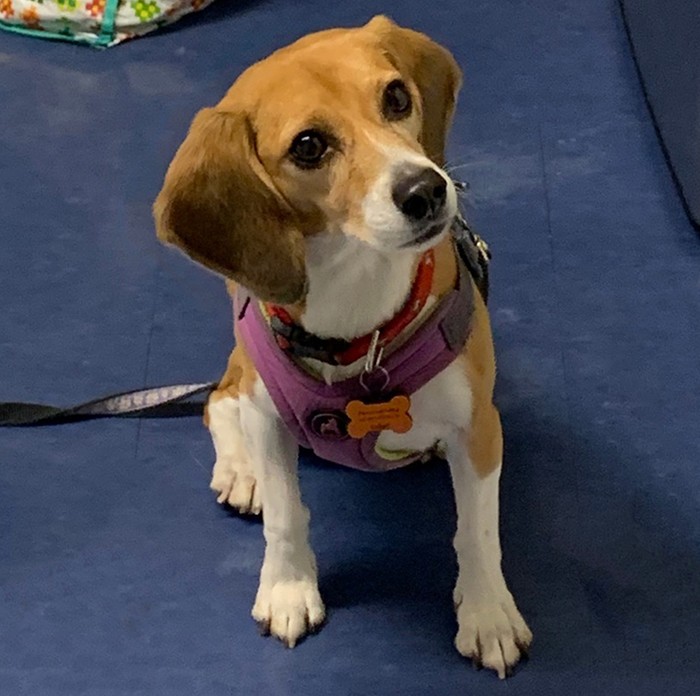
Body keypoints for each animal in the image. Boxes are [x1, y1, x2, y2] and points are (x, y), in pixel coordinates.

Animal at [153, 17, 532, 680]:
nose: (426, 189)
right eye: (308, 146)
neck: (361, 309)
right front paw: (287, 590)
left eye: (397, 97)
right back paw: (240, 470)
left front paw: (487, 612)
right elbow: (285, 515)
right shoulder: (269, 417)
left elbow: (478, 532)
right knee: (219, 400)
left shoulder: (479, 427)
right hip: (244, 374)